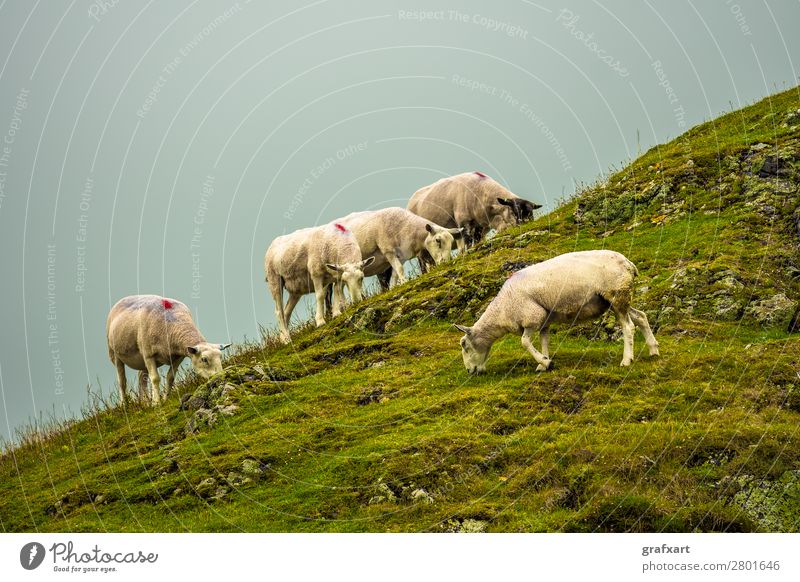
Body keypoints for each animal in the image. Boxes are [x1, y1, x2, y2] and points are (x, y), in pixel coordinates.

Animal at [334, 210, 462, 292]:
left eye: (451, 241)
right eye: (438, 240)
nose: (446, 262)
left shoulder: (401, 256)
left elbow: (396, 273)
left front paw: (394, 287)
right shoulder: (388, 251)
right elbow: (399, 269)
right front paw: (404, 282)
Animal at [406, 171, 544, 249]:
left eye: (531, 214)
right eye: (514, 211)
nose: (526, 226)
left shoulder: (480, 226)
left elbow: (476, 240)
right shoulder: (464, 222)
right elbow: (467, 241)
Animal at [454, 251, 660, 374]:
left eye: (464, 345)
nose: (469, 371)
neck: (503, 310)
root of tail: (628, 263)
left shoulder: (531, 317)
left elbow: (524, 342)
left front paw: (546, 363)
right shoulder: (544, 320)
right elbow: (544, 340)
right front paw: (543, 362)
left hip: (616, 294)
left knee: (628, 327)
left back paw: (626, 360)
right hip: (615, 300)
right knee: (641, 317)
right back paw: (653, 350)